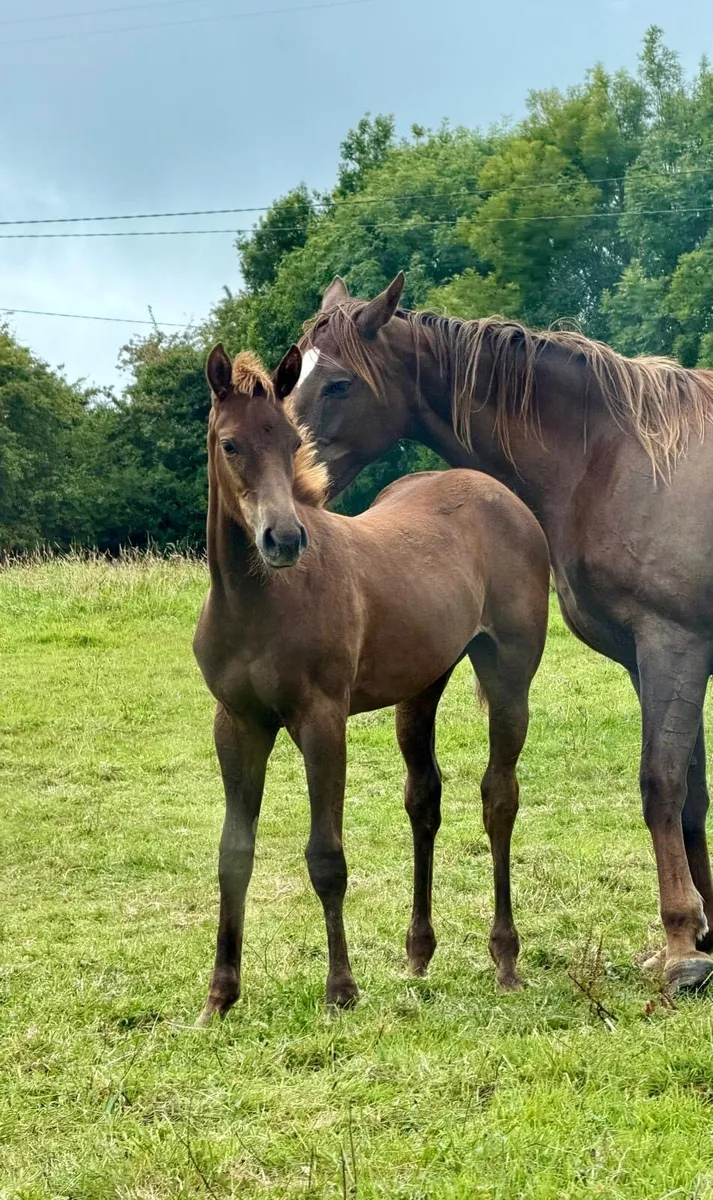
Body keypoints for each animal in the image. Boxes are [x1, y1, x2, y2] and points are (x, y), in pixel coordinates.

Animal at [192, 342, 549, 1021]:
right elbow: (231, 853)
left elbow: (326, 856)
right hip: (422, 684)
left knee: (499, 797)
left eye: (289, 440)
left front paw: (341, 989)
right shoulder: (237, 723)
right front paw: (219, 997)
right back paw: (419, 953)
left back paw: (506, 960)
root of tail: (500, 494)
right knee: (424, 799)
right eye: (230, 444)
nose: (284, 538)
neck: (258, 602)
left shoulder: (321, 719)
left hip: (510, 675)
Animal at [291, 270, 713, 995]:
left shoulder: (674, 645)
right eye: (293, 371)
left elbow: (659, 785)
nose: (286, 482)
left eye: (338, 384)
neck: (614, 456)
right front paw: (705, 935)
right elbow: (691, 795)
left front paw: (682, 946)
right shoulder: (651, 658)